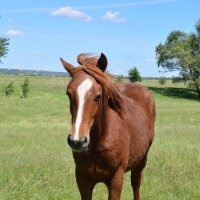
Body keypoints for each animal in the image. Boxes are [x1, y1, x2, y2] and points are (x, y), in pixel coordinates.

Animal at [60, 53, 155, 200]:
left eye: (98, 96)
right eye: (69, 94)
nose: (77, 141)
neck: (98, 144)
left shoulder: (116, 180)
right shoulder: (82, 179)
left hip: (142, 160)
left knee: (136, 184)